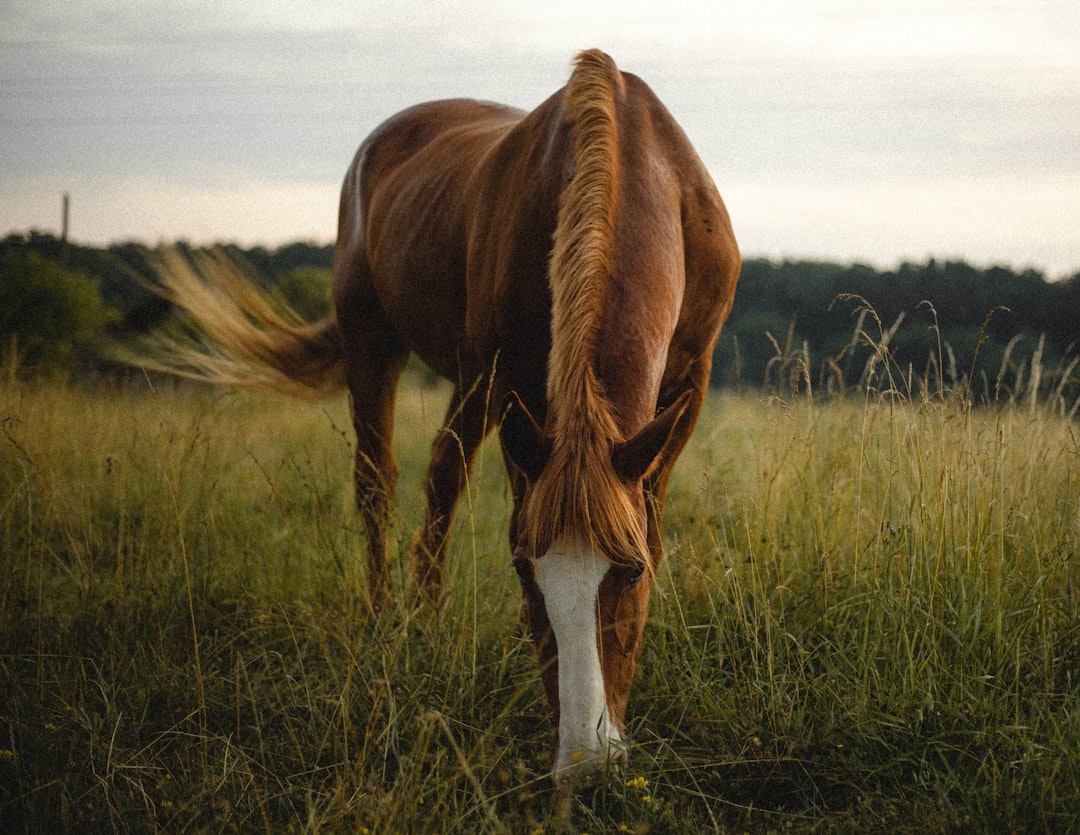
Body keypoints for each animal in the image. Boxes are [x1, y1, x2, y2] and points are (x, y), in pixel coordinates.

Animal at [139, 50, 738, 782]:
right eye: (525, 573)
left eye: (629, 573)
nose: (584, 760)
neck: (638, 169)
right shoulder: (508, 381)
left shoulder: (688, 382)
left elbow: (648, 512)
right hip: (383, 346)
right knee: (385, 478)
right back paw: (396, 622)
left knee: (439, 477)